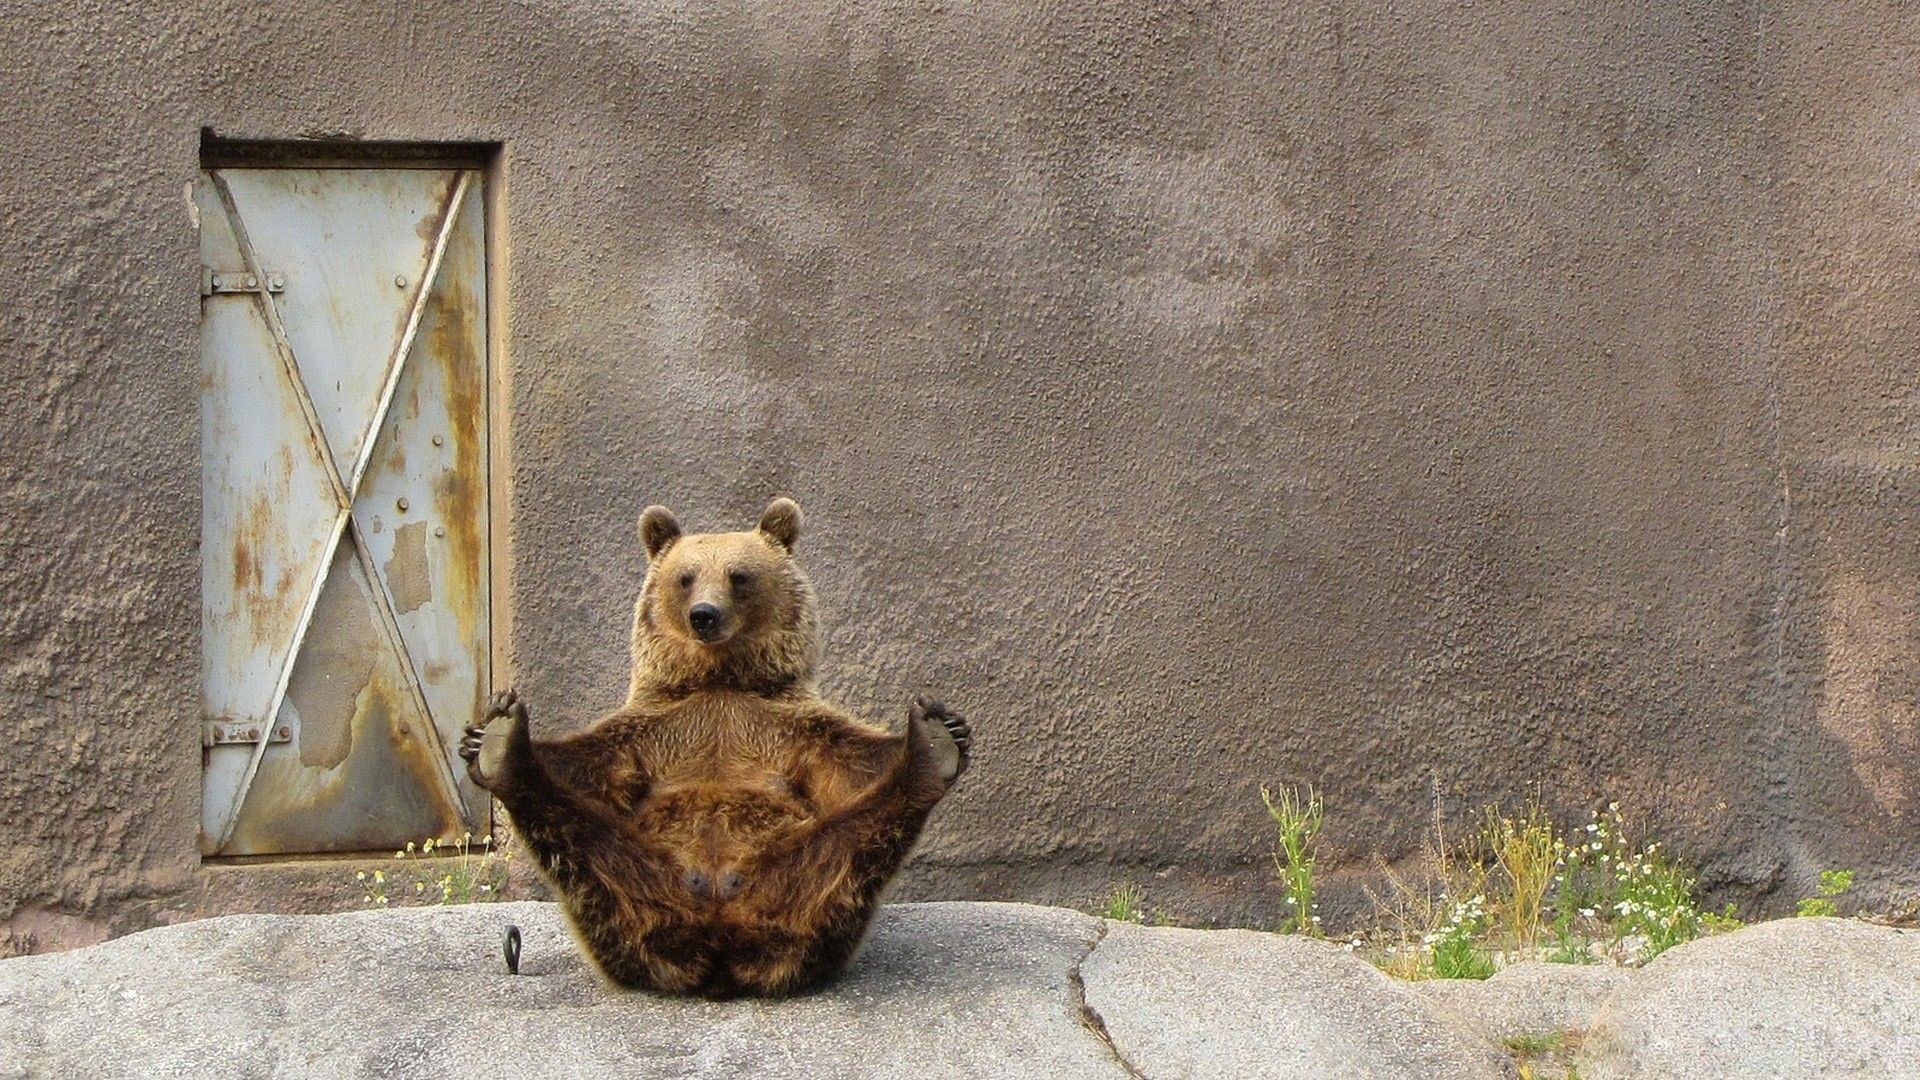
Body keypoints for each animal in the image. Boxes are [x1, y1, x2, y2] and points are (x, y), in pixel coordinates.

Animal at [458, 497, 971, 998]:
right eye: (686, 577)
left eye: (738, 576)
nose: (704, 614)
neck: (719, 679)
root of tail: (720, 946)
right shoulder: (655, 729)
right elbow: (587, 764)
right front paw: (480, 736)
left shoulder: (787, 726)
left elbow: (852, 762)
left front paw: (947, 726)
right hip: (630, 891)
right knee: (583, 842)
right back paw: (505, 749)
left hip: (798, 881)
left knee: (851, 846)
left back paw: (931, 751)